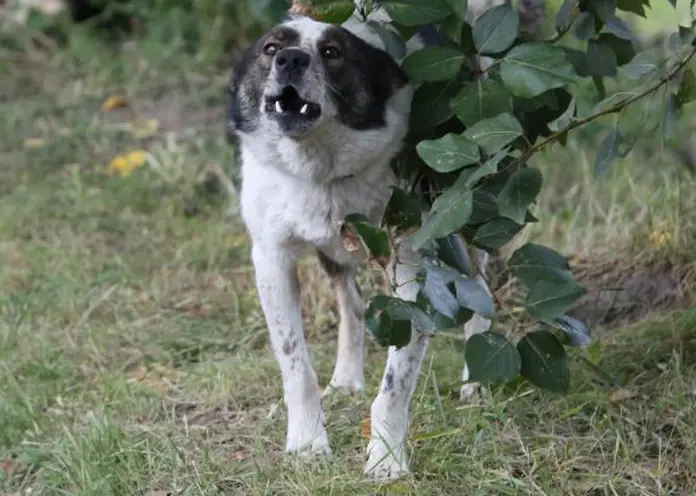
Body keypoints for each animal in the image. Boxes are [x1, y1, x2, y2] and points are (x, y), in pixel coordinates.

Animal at [228, 0, 500, 480]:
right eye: (271, 48)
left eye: (333, 52)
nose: (291, 60)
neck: (321, 172)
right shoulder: (272, 257)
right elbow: (296, 364)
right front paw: (308, 443)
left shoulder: (415, 267)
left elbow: (395, 382)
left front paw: (387, 458)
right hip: (333, 252)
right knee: (351, 303)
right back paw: (346, 379)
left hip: (468, 217)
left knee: (481, 292)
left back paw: (476, 383)